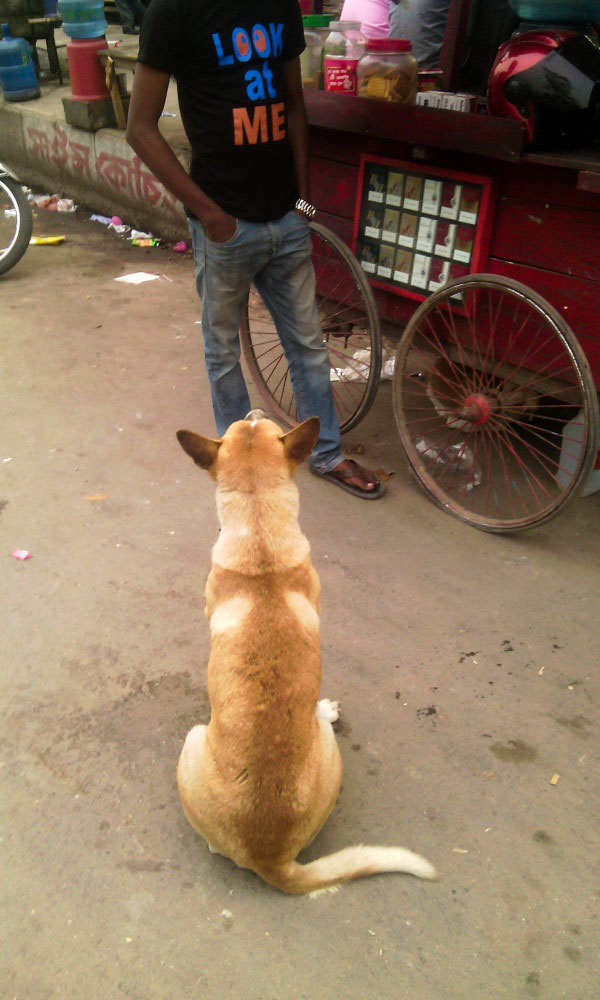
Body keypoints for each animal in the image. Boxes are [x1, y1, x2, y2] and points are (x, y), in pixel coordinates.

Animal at [175, 410, 436, 896]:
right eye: (243, 424)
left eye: (257, 424)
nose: (254, 411)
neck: (260, 539)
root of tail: (272, 859)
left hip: (197, 737)